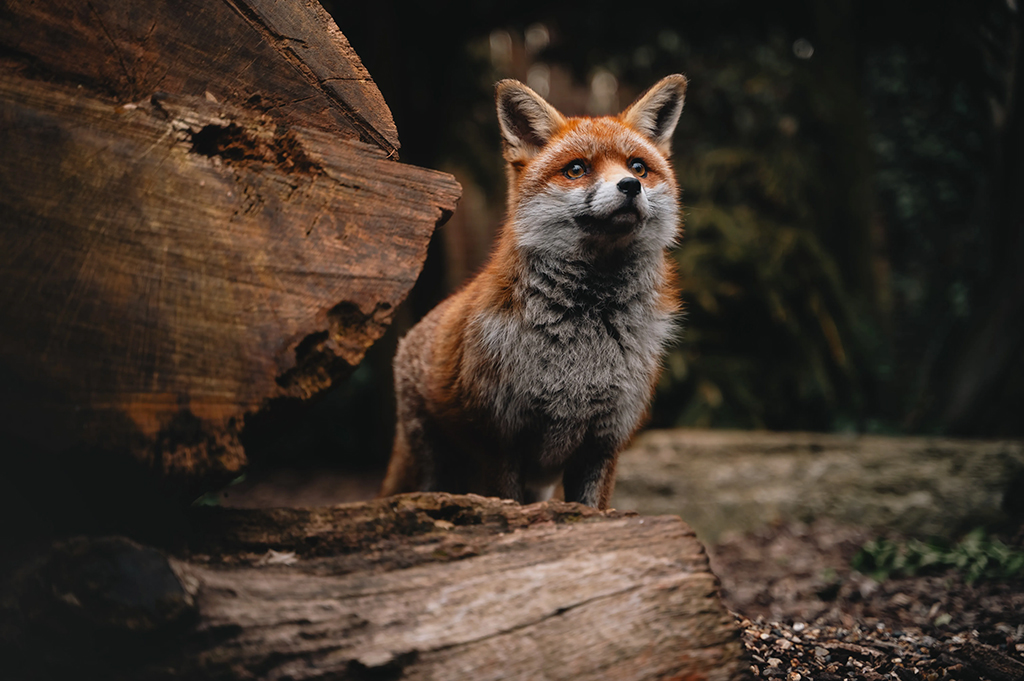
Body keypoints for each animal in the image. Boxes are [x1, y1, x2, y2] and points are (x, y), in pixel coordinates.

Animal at [380, 74, 687, 509]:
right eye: (576, 169)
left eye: (638, 168)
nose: (630, 186)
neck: (585, 339)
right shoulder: (501, 440)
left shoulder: (605, 441)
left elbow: (592, 511)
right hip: (434, 468)